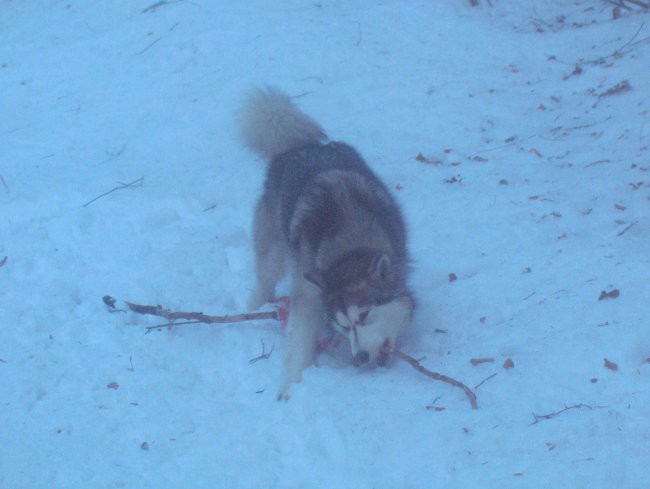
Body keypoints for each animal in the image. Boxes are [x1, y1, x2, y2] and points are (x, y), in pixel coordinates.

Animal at [237, 86, 410, 396]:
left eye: (363, 316)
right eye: (344, 326)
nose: (360, 357)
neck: (349, 246)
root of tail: (297, 148)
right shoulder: (308, 294)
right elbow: (300, 338)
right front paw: (289, 388)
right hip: (273, 253)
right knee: (263, 280)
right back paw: (251, 307)